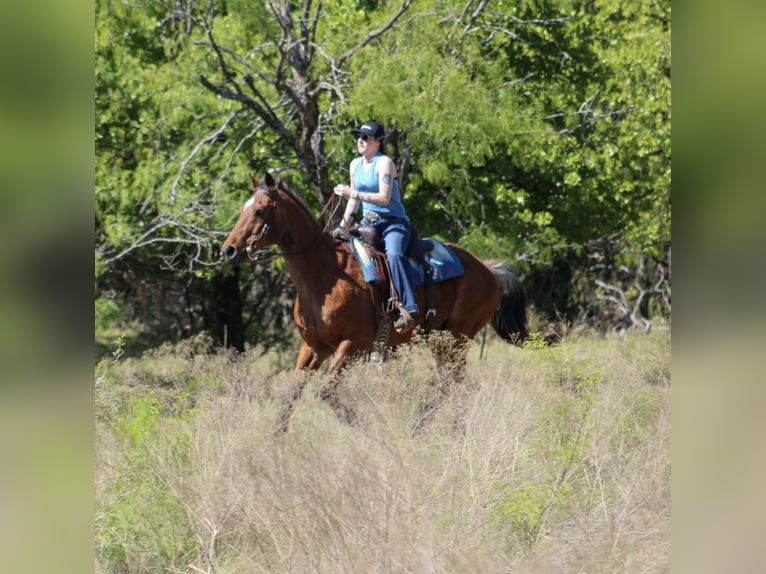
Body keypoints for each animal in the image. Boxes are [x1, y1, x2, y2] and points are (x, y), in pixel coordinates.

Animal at [221, 173, 530, 435]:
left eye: (260, 211)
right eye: (243, 210)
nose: (229, 250)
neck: (326, 274)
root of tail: (488, 269)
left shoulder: (353, 346)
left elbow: (326, 391)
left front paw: (367, 431)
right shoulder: (313, 347)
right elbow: (291, 394)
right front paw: (275, 442)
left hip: (457, 339)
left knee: (451, 384)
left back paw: (423, 428)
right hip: (441, 340)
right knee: (454, 384)